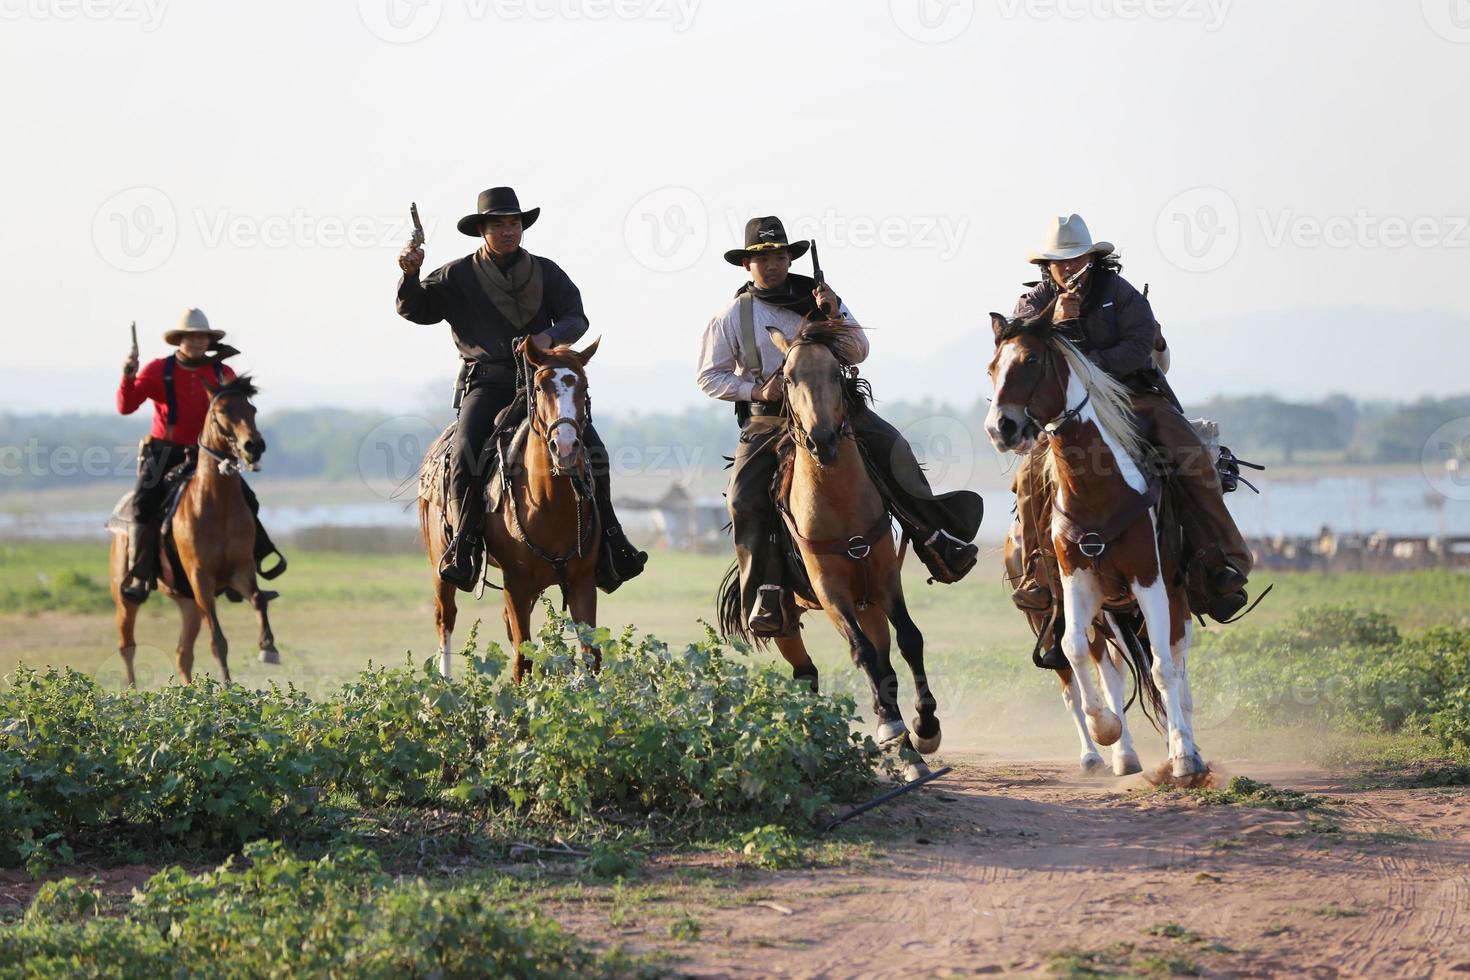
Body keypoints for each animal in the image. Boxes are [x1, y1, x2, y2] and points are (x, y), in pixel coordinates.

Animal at [107, 379, 279, 690]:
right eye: (222, 411)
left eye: (252, 409)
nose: (253, 446)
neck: (216, 503)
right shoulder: (201, 580)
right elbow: (218, 642)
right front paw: (227, 686)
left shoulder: (241, 571)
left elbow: (259, 599)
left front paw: (268, 648)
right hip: (125, 597)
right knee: (127, 646)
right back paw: (133, 692)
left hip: (187, 604)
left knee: (182, 654)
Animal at [420, 337, 602, 681]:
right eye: (540, 387)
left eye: (584, 386)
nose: (566, 446)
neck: (549, 504)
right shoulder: (516, 583)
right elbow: (523, 661)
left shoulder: (582, 581)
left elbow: (591, 655)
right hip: (440, 562)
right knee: (444, 617)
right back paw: (445, 683)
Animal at [720, 321, 940, 781]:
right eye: (787, 378)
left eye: (835, 374)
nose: (822, 440)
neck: (838, 502)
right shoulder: (830, 590)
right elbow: (861, 652)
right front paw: (893, 727)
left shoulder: (885, 580)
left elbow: (909, 639)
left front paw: (925, 728)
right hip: (787, 616)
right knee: (807, 672)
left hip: (868, 601)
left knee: (884, 661)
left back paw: (908, 752)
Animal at [981, 314, 1199, 781]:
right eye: (992, 367)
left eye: (1031, 360)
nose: (999, 428)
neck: (1097, 491)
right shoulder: (1076, 585)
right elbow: (1074, 651)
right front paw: (1106, 729)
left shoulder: (1150, 581)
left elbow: (1163, 669)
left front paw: (1183, 757)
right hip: (1091, 613)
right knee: (1102, 674)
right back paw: (1115, 754)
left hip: (1173, 600)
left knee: (1176, 666)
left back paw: (1185, 746)